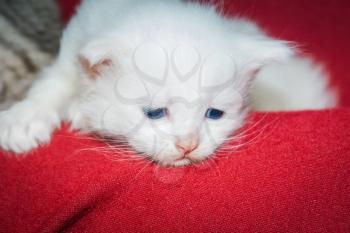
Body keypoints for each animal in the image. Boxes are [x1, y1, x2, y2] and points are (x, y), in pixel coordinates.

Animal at [1, 0, 338, 167]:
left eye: (214, 114)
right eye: (154, 113)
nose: (188, 145)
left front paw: (80, 112)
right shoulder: (74, 46)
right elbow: (53, 83)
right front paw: (23, 121)